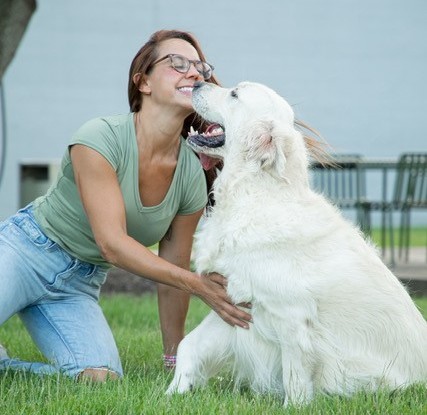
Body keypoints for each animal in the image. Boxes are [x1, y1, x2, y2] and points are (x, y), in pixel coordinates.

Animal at [167, 81, 427, 406]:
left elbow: (294, 378)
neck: (254, 192)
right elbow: (188, 345)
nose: (197, 82)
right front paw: (173, 392)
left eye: (235, 94)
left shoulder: (291, 319)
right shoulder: (238, 305)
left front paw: (294, 407)